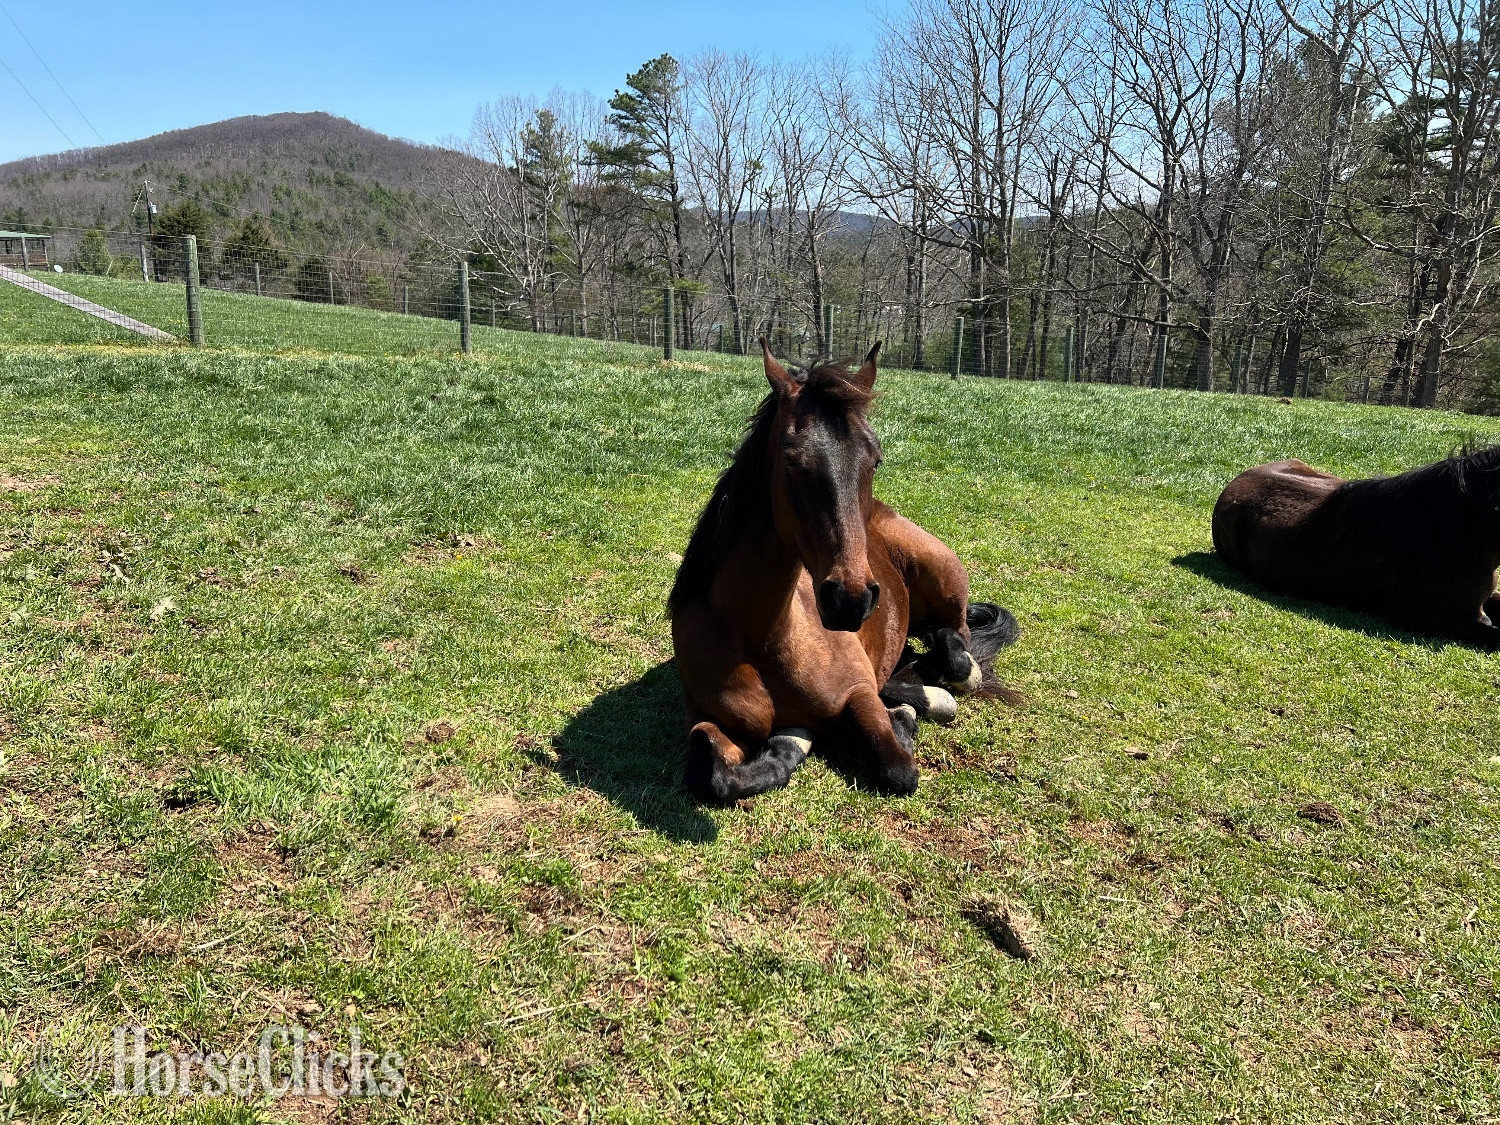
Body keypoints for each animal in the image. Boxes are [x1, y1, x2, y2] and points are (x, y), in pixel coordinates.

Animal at [668, 339, 1018, 803]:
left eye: (875, 460)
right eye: (790, 458)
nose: (850, 600)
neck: (762, 639)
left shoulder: (858, 694)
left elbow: (898, 769)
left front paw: (903, 722)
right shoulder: (705, 718)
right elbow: (709, 774)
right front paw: (788, 745)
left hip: (945, 581)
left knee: (956, 646)